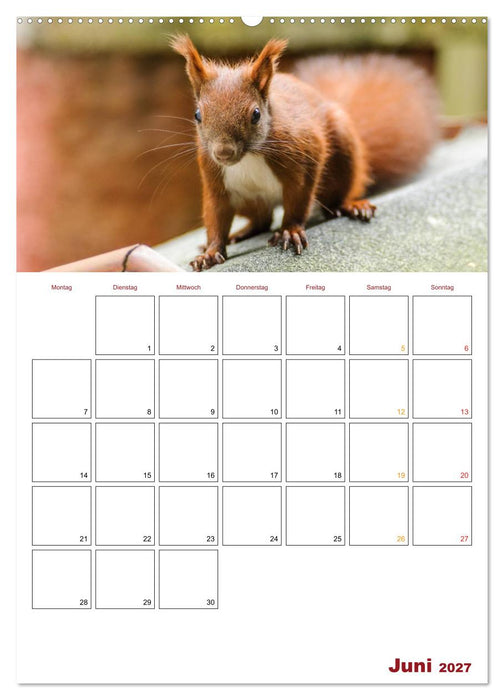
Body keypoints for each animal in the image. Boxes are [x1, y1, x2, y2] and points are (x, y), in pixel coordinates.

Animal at [171, 36, 439, 271]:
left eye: (255, 114)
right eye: (197, 115)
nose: (224, 152)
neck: (250, 156)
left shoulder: (302, 153)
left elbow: (298, 198)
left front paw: (290, 231)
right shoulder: (214, 177)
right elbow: (216, 215)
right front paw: (210, 252)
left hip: (344, 154)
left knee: (339, 194)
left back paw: (353, 205)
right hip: (249, 199)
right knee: (261, 219)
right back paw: (240, 233)